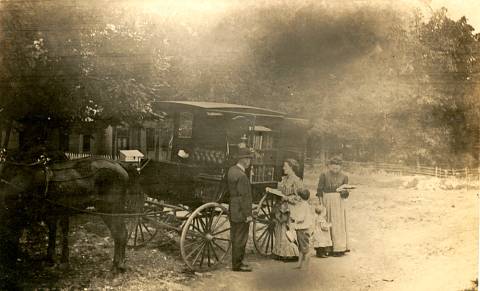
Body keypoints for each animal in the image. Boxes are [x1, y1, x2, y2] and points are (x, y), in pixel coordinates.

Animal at [0, 155, 130, 288]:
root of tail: (120, 167)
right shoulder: (53, 212)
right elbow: (55, 232)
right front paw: (54, 259)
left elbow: (14, 237)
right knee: (121, 233)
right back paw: (120, 265)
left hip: (109, 207)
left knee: (120, 233)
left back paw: (117, 268)